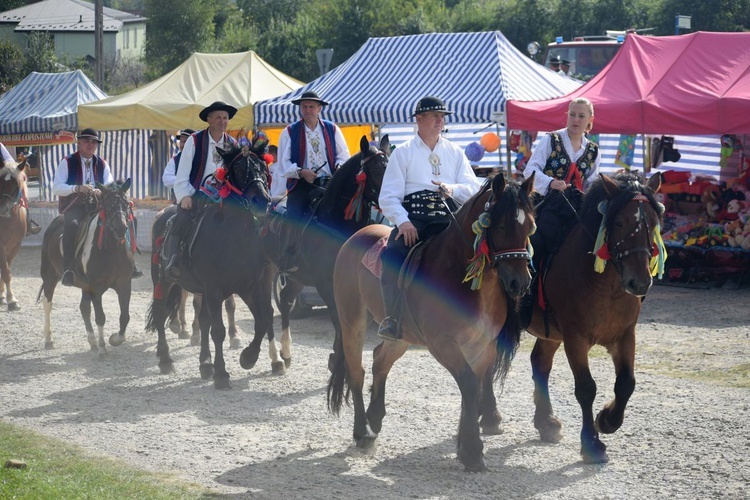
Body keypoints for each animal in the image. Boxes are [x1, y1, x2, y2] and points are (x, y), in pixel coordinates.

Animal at [39, 180, 138, 356]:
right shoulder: (96, 288)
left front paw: (115, 339)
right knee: (48, 303)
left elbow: (125, 316)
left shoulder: (124, 284)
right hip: (49, 276)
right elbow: (100, 317)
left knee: (84, 307)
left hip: (84, 285)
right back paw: (49, 339)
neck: (111, 251)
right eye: (107, 205)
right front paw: (102, 348)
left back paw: (91, 341)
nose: (121, 228)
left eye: (127, 203)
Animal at [146, 143, 274, 388]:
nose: (262, 200)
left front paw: (247, 358)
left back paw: (205, 364)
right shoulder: (215, 289)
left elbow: (263, 320)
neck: (235, 237)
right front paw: (222, 374)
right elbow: (218, 330)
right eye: (239, 169)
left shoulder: (249, 286)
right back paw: (166, 359)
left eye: (263, 167)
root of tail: (162, 214)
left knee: (202, 320)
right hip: (163, 280)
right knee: (160, 312)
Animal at [262, 136, 390, 368]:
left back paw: (286, 352)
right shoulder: (325, 283)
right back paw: (274, 357)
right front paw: (338, 362)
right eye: (376, 170)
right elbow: (338, 321)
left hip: (297, 277)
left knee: (285, 299)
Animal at [328, 174, 536, 470]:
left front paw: (468, 444)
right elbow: (469, 384)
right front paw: (472, 451)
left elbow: (474, 386)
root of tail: (357, 235)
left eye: (530, 226)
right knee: (357, 371)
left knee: (380, 359)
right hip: (352, 321)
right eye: (502, 225)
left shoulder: (483, 345)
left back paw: (375, 417)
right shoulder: (443, 344)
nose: (521, 282)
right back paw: (362, 432)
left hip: (401, 336)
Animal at [524, 173, 668, 464]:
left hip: (550, 333)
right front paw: (591, 443)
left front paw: (607, 420)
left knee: (540, 363)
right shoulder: (575, 338)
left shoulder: (624, 335)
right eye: (619, 222)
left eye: (654, 223)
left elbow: (626, 384)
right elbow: (586, 388)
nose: (639, 282)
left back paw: (546, 422)